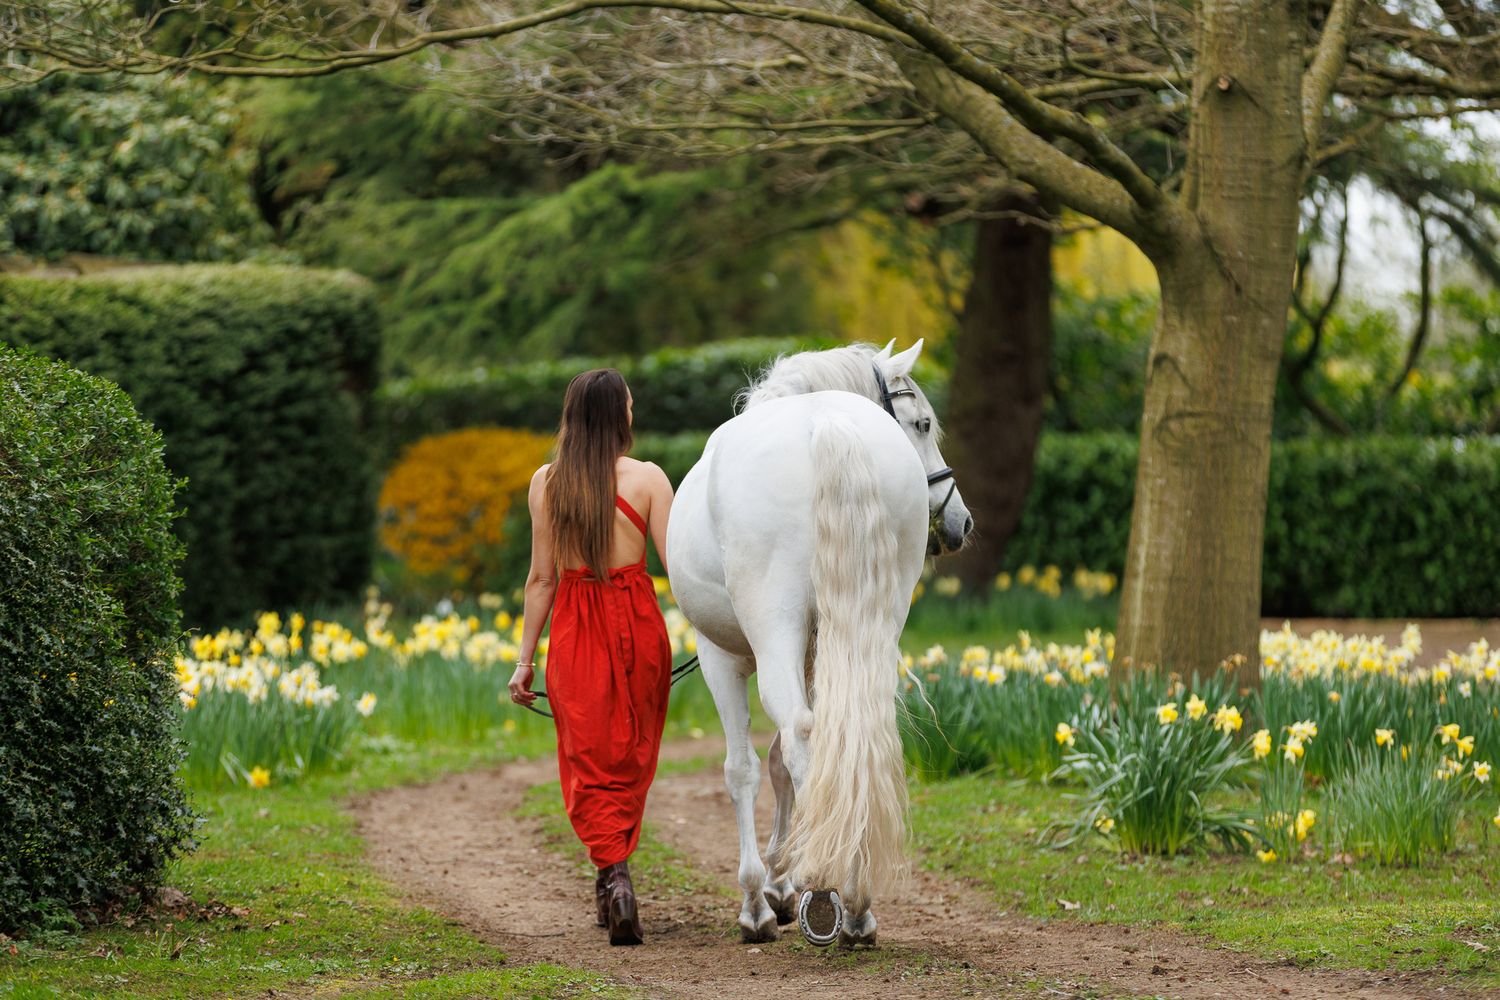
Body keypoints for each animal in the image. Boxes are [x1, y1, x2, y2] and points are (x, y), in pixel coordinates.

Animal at [665, 339, 972, 948]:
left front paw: (759, 899)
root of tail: (828, 424)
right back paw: (856, 904)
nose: (960, 521)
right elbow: (781, 761)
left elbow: (745, 768)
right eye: (922, 423)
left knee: (802, 739)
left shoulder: (720, 656)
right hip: (869, 627)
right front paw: (781, 881)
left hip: (771, 631)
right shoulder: (810, 651)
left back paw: (828, 891)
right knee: (852, 733)